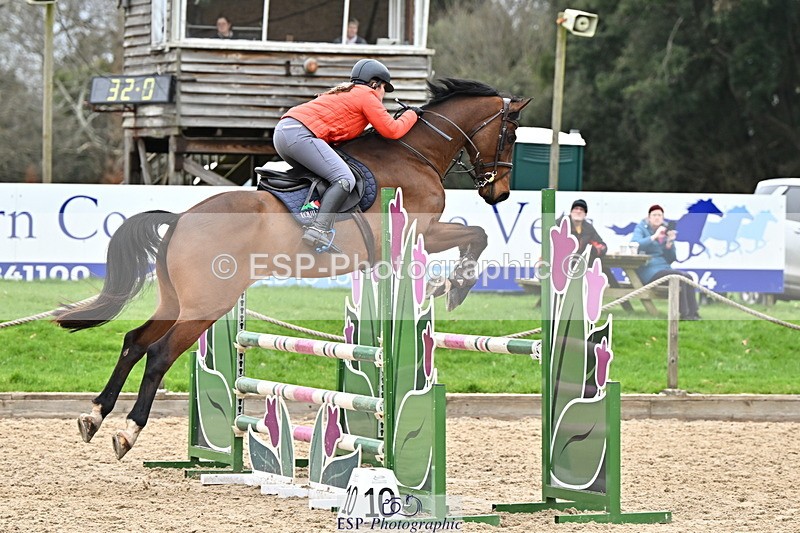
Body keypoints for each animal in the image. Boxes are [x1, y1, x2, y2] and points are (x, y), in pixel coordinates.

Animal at [54, 79, 530, 460]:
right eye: (510, 135)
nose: (500, 194)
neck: (416, 153)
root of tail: (180, 220)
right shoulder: (424, 232)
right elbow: (478, 235)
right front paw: (454, 286)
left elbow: (475, 236)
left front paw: (447, 285)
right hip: (207, 304)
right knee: (158, 354)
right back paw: (128, 432)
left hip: (177, 300)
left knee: (134, 342)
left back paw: (94, 416)